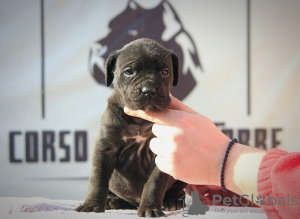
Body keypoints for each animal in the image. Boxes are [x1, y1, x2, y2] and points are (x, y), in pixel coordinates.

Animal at [75, 38, 185, 217]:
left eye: (165, 72)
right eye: (129, 72)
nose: (149, 90)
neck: (139, 120)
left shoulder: (161, 153)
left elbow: (155, 184)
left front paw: (150, 208)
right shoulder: (104, 148)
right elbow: (97, 179)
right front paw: (91, 205)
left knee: (177, 190)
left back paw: (172, 201)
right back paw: (112, 201)